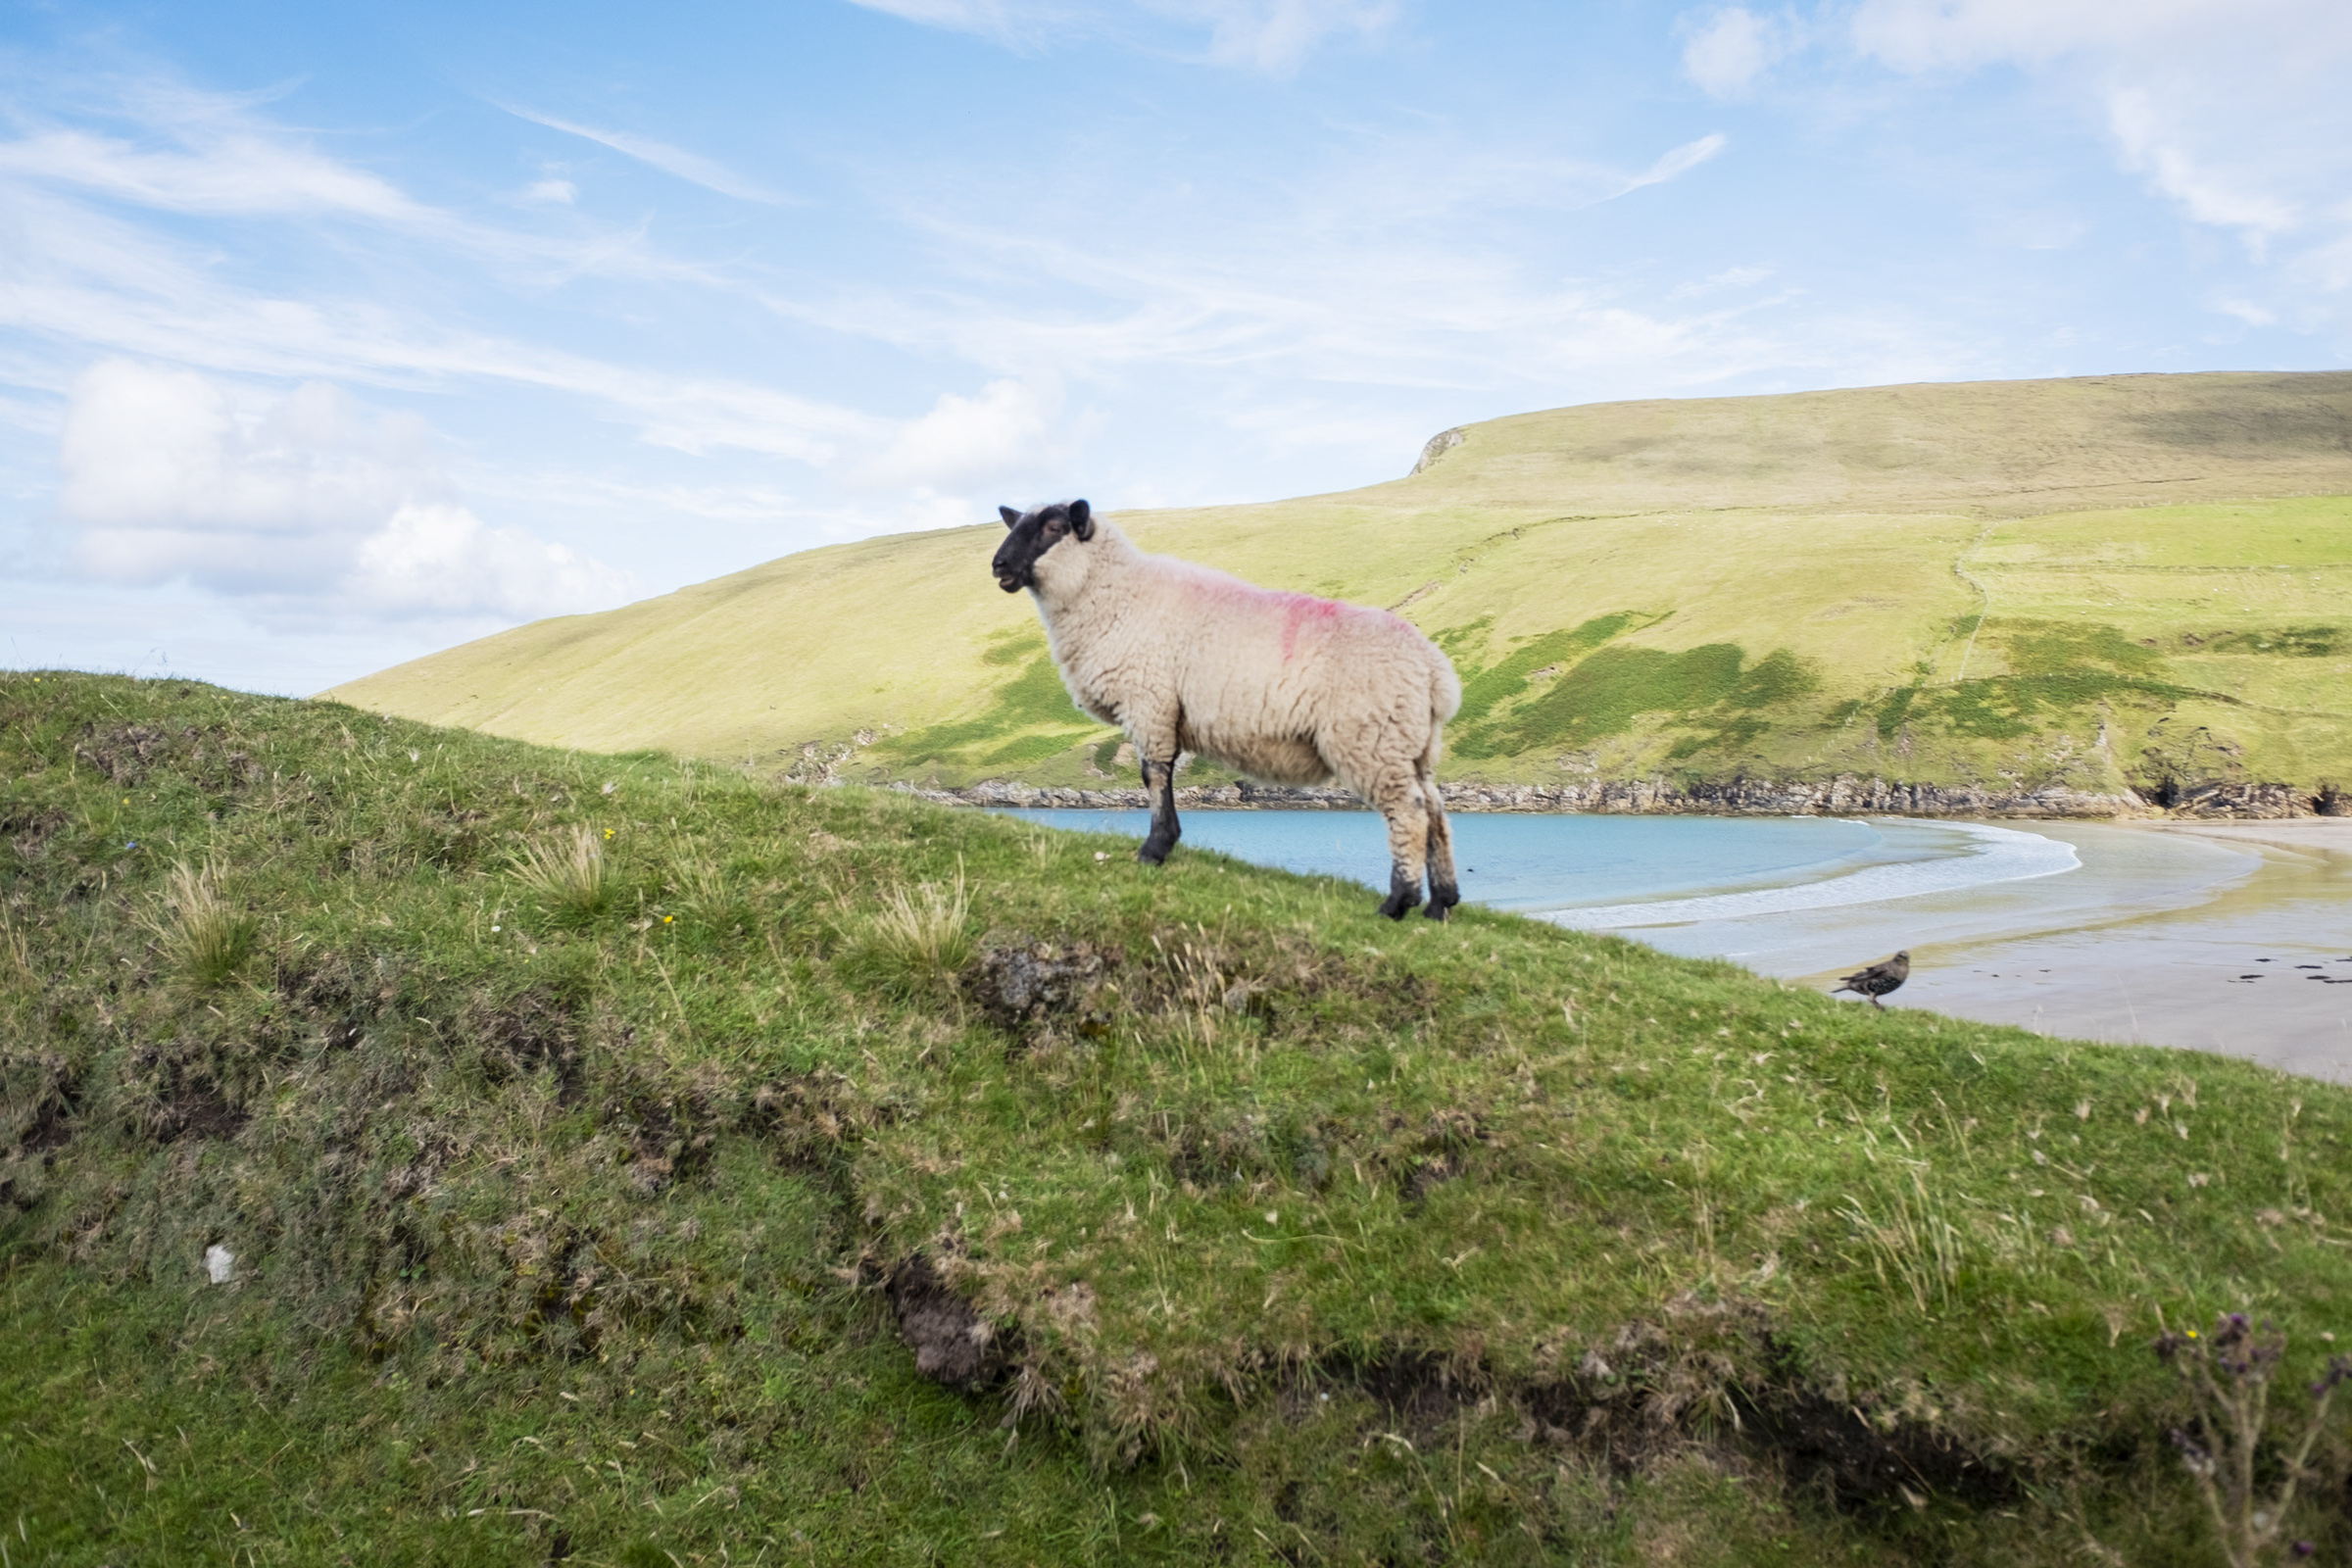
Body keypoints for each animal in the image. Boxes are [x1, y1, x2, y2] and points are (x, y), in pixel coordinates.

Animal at [983, 500, 1458, 921]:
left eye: (1053, 527)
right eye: (1015, 524)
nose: (999, 565)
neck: (1114, 594)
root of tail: (1436, 673)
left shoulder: (1150, 700)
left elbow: (1153, 774)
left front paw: (1155, 849)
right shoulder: (1160, 707)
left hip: (1371, 738)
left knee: (1409, 811)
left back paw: (1398, 903)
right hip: (1412, 744)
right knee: (1435, 809)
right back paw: (1441, 903)